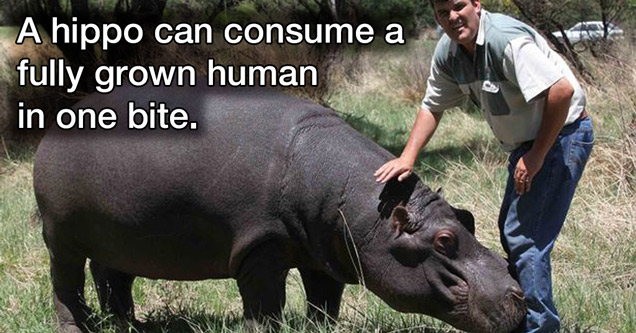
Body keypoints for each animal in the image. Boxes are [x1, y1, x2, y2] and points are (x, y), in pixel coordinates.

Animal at [32, 84, 524, 330]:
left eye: (467, 218)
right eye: (443, 240)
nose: (519, 294)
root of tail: (54, 128)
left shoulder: (324, 251)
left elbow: (324, 300)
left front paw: (321, 329)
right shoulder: (259, 248)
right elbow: (266, 302)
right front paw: (264, 329)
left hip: (117, 236)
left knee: (113, 277)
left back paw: (126, 326)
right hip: (60, 239)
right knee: (66, 285)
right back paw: (78, 328)